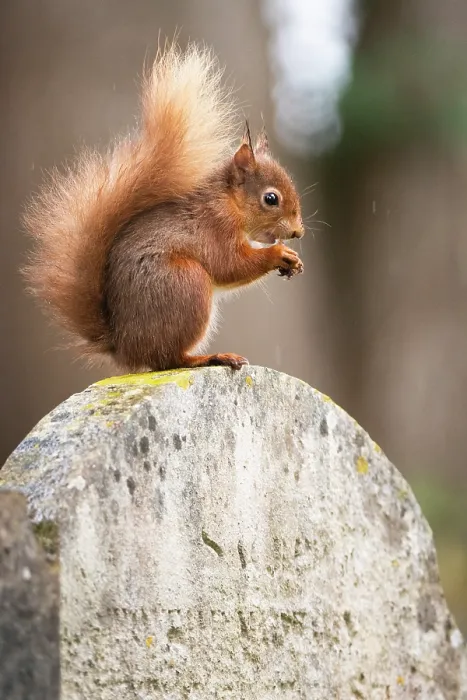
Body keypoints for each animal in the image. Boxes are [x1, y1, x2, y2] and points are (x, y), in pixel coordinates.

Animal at [23, 43, 304, 372]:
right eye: (271, 199)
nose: (298, 232)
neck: (229, 202)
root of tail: (125, 347)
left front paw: (294, 261)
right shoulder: (215, 225)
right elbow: (228, 264)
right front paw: (279, 254)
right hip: (186, 283)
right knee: (168, 358)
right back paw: (210, 357)